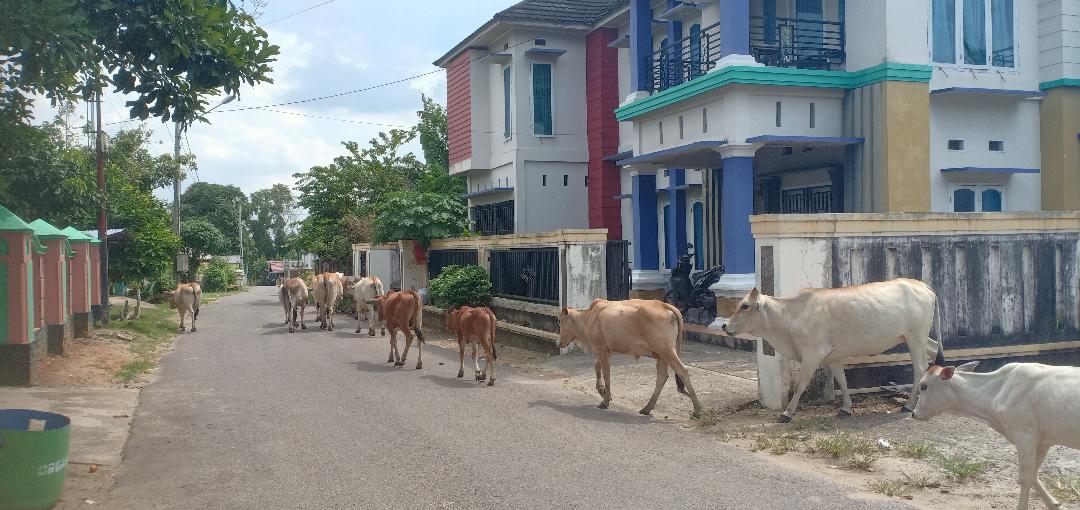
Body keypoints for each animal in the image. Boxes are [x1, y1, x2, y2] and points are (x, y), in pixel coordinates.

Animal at [561, 300, 704, 417]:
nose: (559, 343)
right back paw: (647, 408)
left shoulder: (600, 348)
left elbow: (607, 374)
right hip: (661, 354)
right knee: (662, 376)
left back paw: (697, 410)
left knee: (683, 371)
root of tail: (664, 305)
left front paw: (605, 400)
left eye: (560, 321)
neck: (589, 317)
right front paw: (602, 390)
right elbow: (597, 366)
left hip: (667, 351)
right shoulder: (607, 350)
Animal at [721, 278, 941, 421]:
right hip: (917, 338)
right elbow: (842, 381)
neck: (792, 316)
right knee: (933, 350)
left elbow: (800, 385)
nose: (724, 325)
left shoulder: (811, 355)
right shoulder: (832, 358)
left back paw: (908, 405)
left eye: (745, 306)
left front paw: (787, 413)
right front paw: (846, 408)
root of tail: (923, 285)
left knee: (920, 368)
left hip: (915, 337)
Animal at [911, 356, 1080, 507]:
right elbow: (1033, 475)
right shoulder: (1043, 441)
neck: (997, 391)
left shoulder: (1025, 438)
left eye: (924, 386)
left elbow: (1025, 477)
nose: (914, 414)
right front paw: (1054, 504)